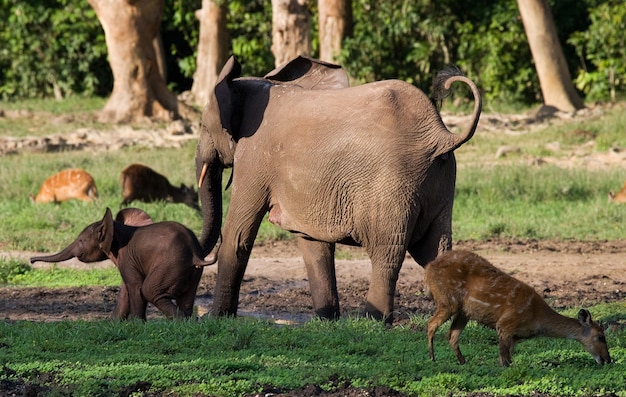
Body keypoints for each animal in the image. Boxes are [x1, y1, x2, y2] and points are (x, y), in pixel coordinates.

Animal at [30, 207, 216, 318]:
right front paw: (115, 323)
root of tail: (195, 255)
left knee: (149, 290)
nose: (31, 260)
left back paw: (181, 321)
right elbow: (126, 290)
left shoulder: (127, 258)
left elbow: (135, 288)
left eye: (81, 241)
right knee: (186, 298)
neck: (117, 228)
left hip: (170, 265)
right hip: (192, 272)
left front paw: (137, 325)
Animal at [197, 56, 480, 322]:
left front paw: (215, 319)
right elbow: (312, 243)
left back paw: (374, 321)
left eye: (202, 126)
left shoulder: (254, 156)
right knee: (436, 251)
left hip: (394, 184)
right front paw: (327, 320)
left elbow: (237, 235)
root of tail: (441, 135)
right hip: (441, 180)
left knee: (386, 255)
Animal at [424, 249, 608, 366]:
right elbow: (504, 361)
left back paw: (463, 362)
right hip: (447, 300)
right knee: (431, 324)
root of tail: (428, 268)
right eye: (600, 336)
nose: (608, 359)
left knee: (451, 335)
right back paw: (432, 358)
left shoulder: (515, 336)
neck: (537, 319)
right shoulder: (505, 324)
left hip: (464, 311)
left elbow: (508, 358)